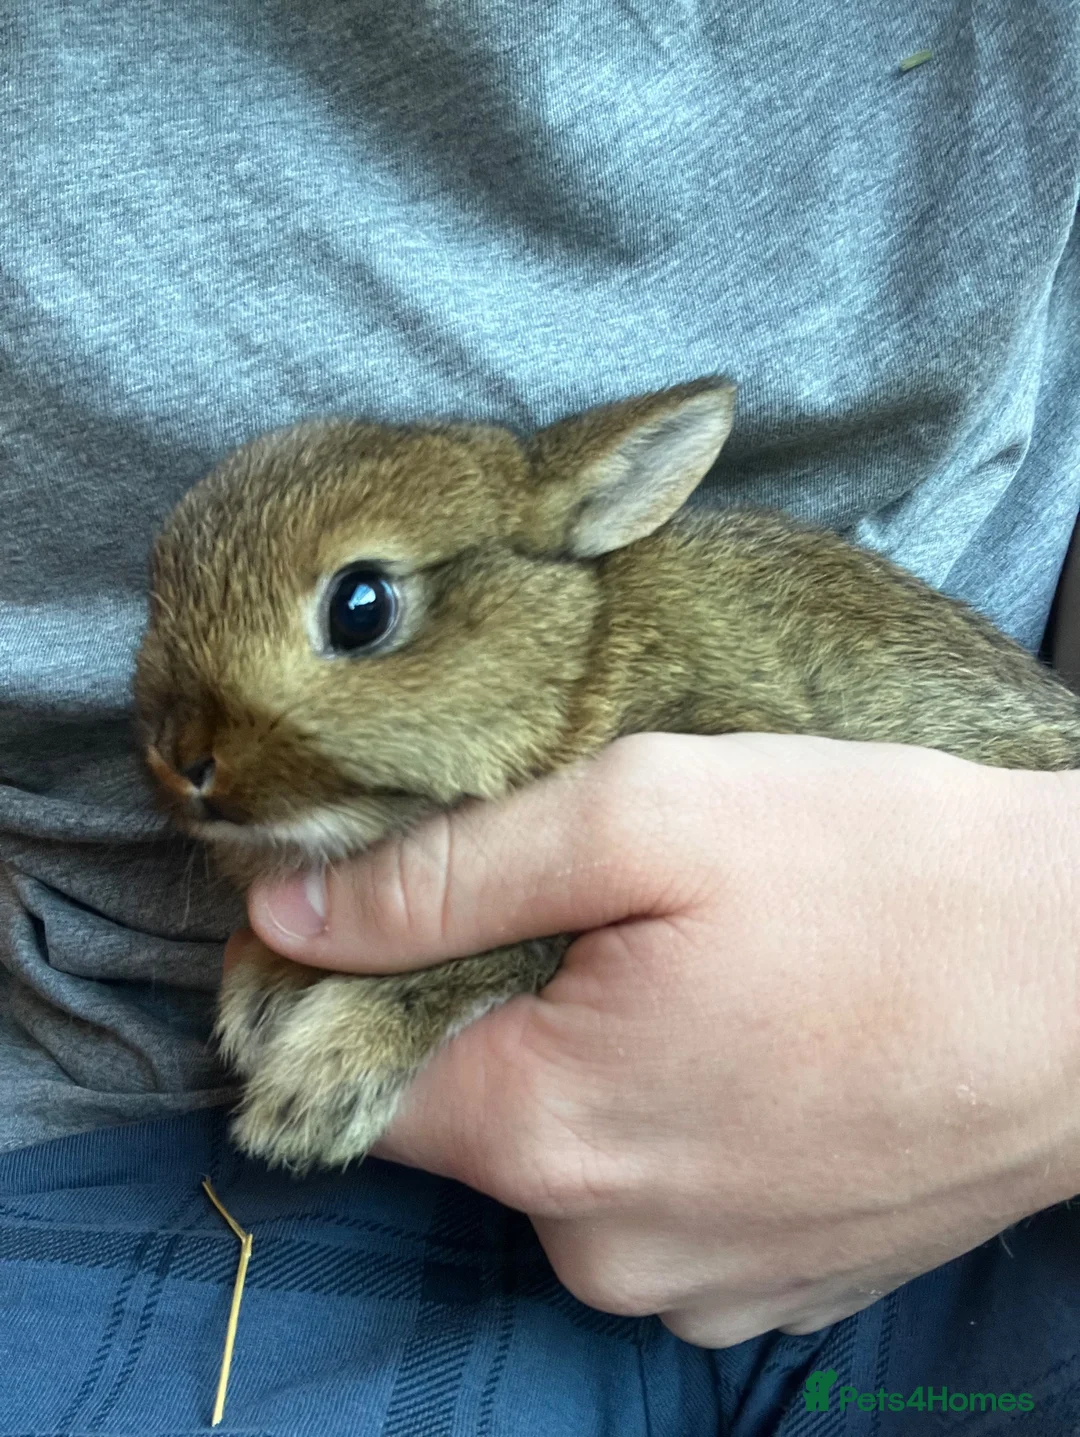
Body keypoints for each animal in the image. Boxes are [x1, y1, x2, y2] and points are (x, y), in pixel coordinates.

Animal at [134, 377, 1080, 1171]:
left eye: (360, 606)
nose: (184, 761)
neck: (583, 665)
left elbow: (490, 951)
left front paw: (316, 1082)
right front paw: (261, 991)